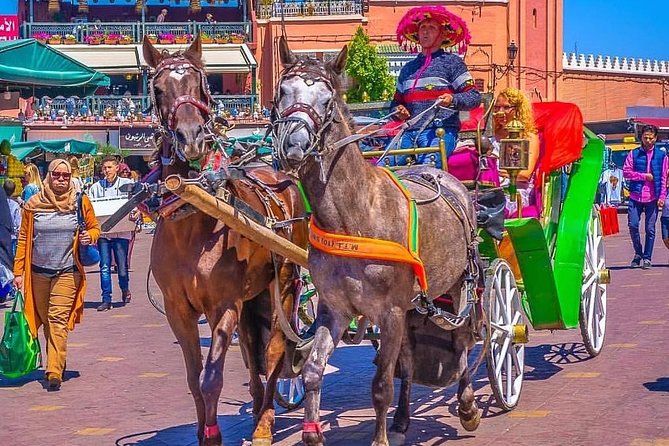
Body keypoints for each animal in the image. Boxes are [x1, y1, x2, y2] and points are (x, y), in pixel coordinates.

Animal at [144, 36, 308, 444]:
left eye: (201, 85)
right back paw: (257, 408)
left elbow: (212, 378)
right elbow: (193, 378)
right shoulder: (178, 309)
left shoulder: (224, 305)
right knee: (252, 349)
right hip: (253, 296)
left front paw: (214, 434)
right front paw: (203, 433)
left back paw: (264, 421)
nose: (190, 138)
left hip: (282, 283)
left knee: (273, 348)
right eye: (158, 89)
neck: (192, 219)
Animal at [272, 38, 480, 446]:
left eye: (327, 100)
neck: (355, 217)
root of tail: (435, 170)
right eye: (283, 92)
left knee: (462, 339)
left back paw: (466, 406)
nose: (295, 145)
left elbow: (382, 383)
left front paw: (379, 438)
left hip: (459, 284)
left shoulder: (390, 311)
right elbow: (313, 370)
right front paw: (313, 433)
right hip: (415, 306)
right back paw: (401, 419)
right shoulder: (335, 309)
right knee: (410, 357)